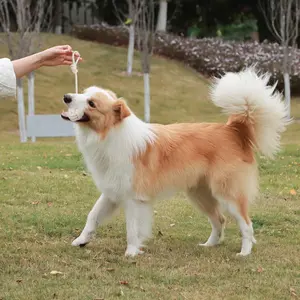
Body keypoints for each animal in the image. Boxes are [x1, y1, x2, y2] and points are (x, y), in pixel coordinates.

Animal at [60, 68, 288, 258]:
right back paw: (209, 245)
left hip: (227, 193)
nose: (66, 97)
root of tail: (233, 130)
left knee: (246, 224)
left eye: (92, 103)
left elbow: (132, 228)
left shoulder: (134, 198)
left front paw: (131, 252)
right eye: (83, 93)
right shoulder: (112, 191)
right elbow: (92, 216)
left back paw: (244, 253)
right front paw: (81, 241)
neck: (111, 133)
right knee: (219, 220)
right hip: (200, 194)